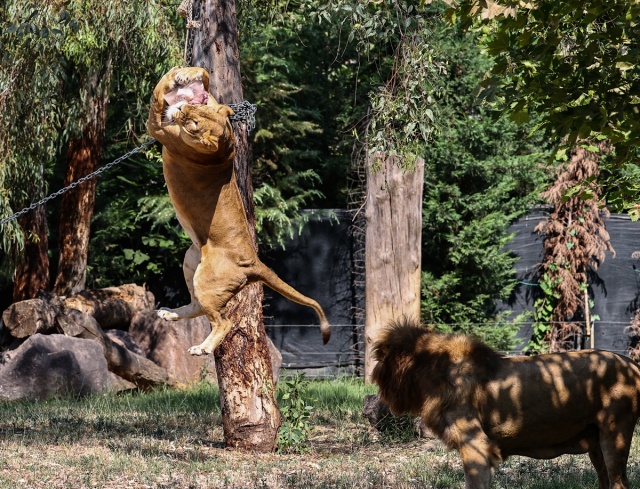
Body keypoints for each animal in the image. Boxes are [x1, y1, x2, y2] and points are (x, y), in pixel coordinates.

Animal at [148, 66, 330, 354]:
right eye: (195, 111)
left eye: (193, 124)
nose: (182, 108)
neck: (224, 144)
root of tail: (254, 262)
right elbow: (208, 83)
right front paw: (189, 73)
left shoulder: (158, 129)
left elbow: (155, 100)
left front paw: (173, 77)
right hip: (191, 261)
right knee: (198, 306)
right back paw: (169, 314)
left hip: (207, 281)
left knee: (223, 321)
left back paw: (202, 348)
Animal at [372, 316, 640, 488]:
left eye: (380, 359)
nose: (373, 374)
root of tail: (632, 365)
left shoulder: (476, 446)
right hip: (596, 445)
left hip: (614, 436)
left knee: (619, 483)